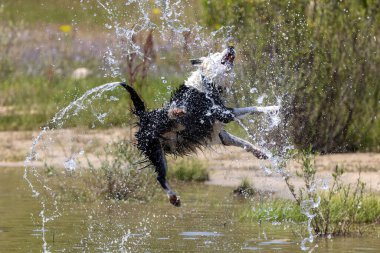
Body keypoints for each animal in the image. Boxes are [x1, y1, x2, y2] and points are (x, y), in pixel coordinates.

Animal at [121, 46, 280, 207]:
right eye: (216, 54)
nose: (231, 46)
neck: (207, 84)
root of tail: (144, 116)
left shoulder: (220, 134)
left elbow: (244, 142)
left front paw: (259, 152)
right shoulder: (222, 113)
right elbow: (252, 108)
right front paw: (273, 107)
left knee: (159, 176)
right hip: (155, 151)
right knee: (160, 177)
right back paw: (173, 198)